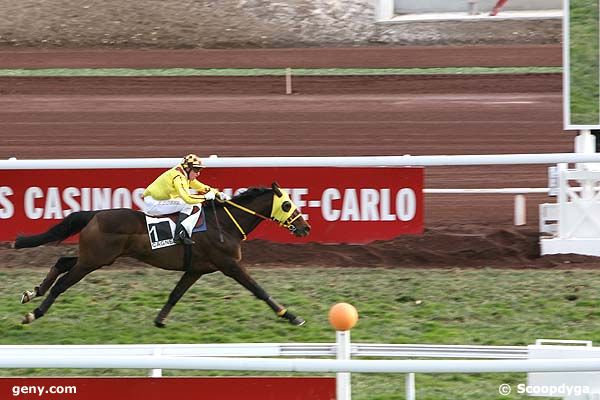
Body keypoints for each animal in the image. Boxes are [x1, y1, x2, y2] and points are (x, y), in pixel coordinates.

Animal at [15, 183, 312, 326]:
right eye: (287, 204)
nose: (305, 227)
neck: (224, 224)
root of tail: (95, 214)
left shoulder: (196, 269)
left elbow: (175, 294)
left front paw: (160, 320)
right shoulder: (228, 264)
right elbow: (258, 290)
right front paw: (290, 315)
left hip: (94, 257)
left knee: (62, 262)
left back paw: (33, 292)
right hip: (94, 260)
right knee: (63, 283)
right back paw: (35, 313)